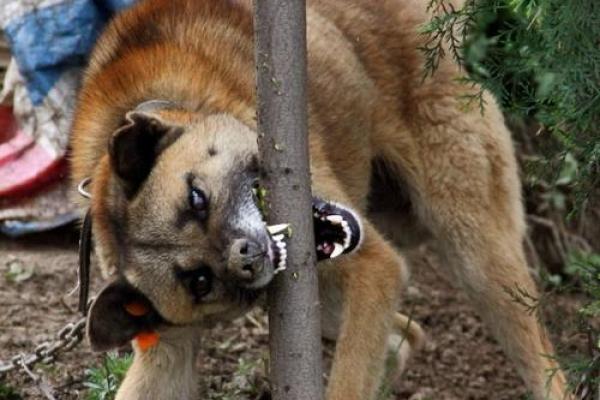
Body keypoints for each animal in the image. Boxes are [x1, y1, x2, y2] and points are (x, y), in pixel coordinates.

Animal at [71, 0, 572, 400]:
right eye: (199, 282)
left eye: (196, 199)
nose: (248, 256)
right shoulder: (169, 350)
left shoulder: (375, 268)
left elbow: (348, 382)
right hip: (328, 306)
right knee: (405, 336)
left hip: (478, 264)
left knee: (546, 370)